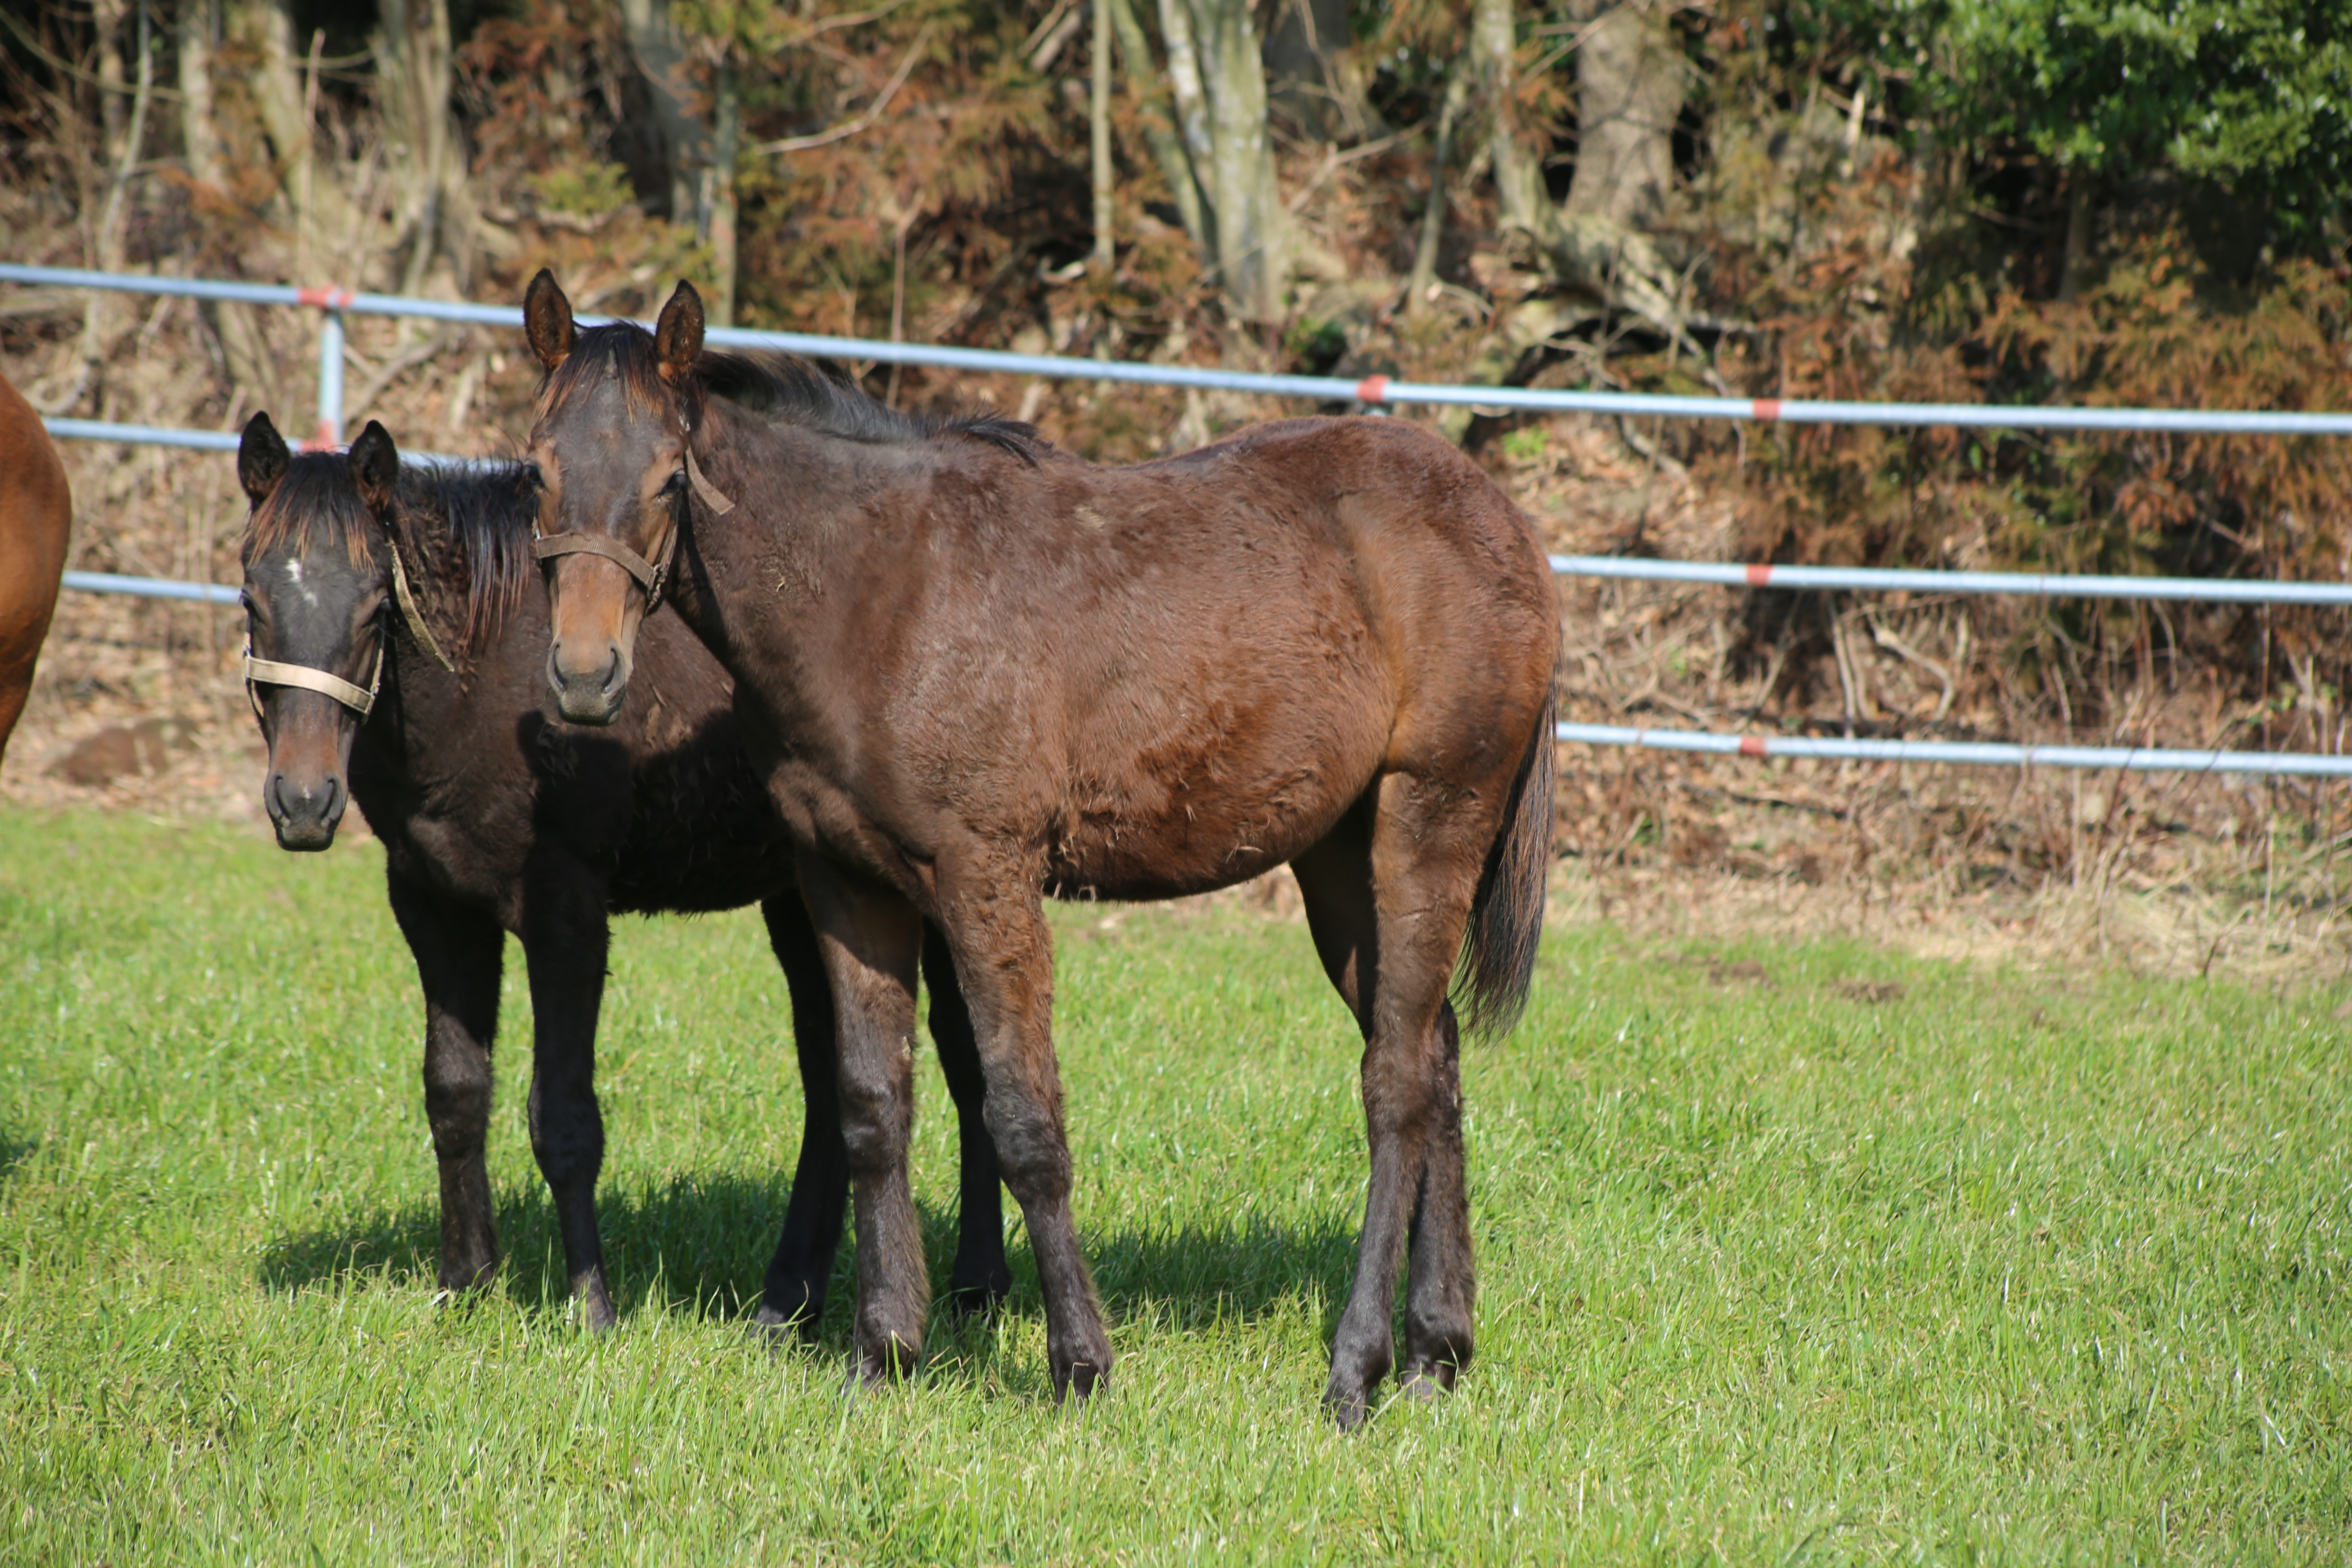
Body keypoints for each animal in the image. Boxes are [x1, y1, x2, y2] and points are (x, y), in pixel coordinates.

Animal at [236, 411, 1011, 1335]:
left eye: (375, 607)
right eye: (251, 602)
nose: (303, 801)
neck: (486, 673)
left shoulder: (565, 910)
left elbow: (565, 1119)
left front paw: (590, 1306)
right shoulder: (432, 901)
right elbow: (454, 1094)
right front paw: (466, 1282)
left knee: (963, 1062)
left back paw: (977, 1283)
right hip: (801, 895)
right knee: (832, 1080)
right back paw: (790, 1297)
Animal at [517, 276, 1561, 1429]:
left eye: (669, 476)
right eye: (535, 469)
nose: (583, 675)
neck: (876, 595)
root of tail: (1496, 514)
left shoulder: (987, 877)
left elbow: (1022, 1118)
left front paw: (1079, 1364)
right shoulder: (847, 886)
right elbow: (870, 1108)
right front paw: (884, 1352)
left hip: (1430, 822)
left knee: (1397, 1085)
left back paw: (1355, 1369)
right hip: (1338, 861)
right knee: (1435, 1055)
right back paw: (1435, 1352)